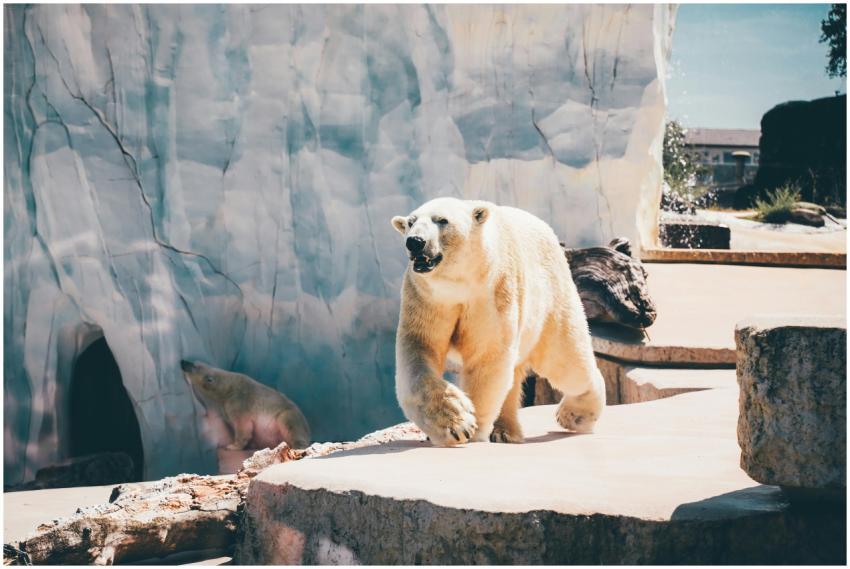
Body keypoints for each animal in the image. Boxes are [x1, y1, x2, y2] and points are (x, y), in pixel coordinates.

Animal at [180, 360, 311, 450]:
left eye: (194, 366)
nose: (182, 361)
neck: (228, 388)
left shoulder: (240, 402)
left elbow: (242, 425)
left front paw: (232, 446)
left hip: (286, 414)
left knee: (290, 424)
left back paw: (298, 445)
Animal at [390, 197, 606, 446]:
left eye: (442, 220)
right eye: (410, 222)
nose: (415, 242)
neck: (460, 284)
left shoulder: (492, 293)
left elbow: (487, 356)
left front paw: (471, 430)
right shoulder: (427, 298)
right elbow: (419, 350)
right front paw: (456, 424)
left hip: (551, 301)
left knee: (566, 362)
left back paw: (573, 415)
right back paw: (505, 431)